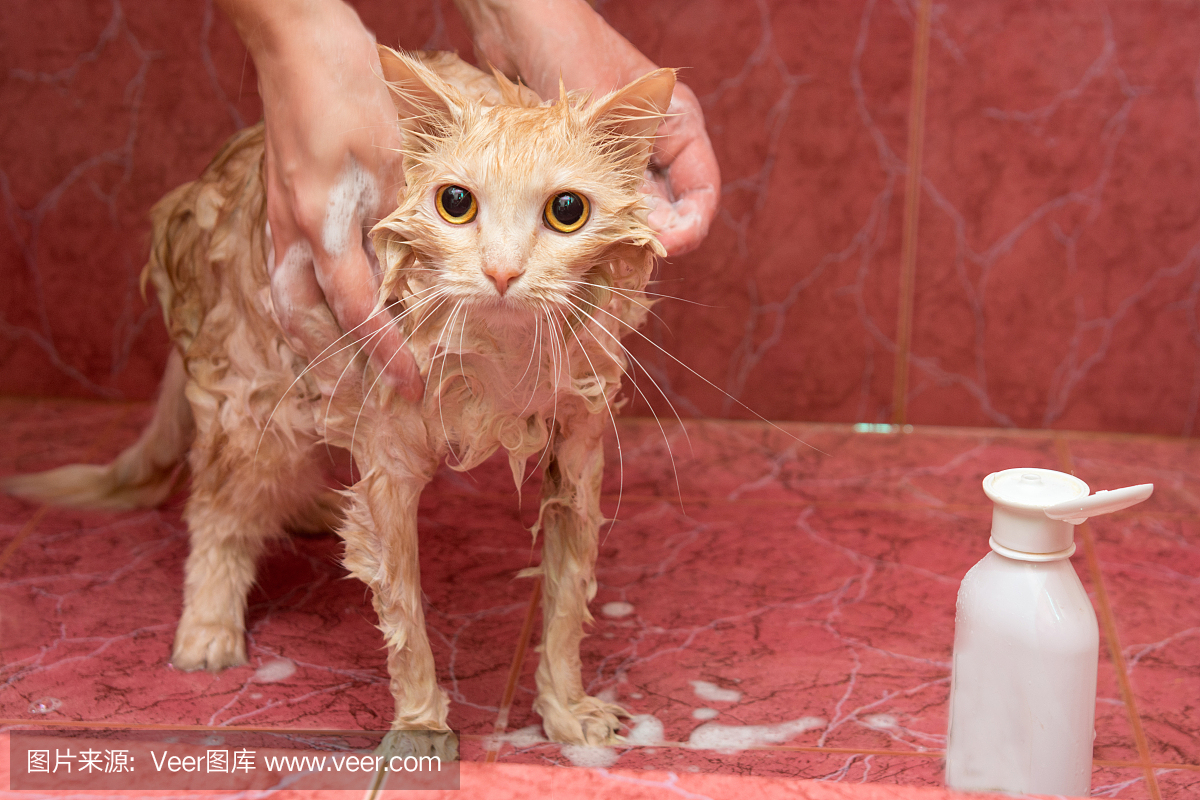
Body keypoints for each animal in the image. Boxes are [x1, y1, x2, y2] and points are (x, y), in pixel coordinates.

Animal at [4, 48, 672, 758]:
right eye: (455, 203)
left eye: (568, 210)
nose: (501, 272)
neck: (503, 362)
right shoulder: (391, 464)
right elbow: (404, 615)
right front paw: (420, 727)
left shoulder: (578, 448)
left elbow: (568, 601)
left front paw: (565, 709)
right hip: (254, 395)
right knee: (217, 511)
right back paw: (208, 630)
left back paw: (308, 512)